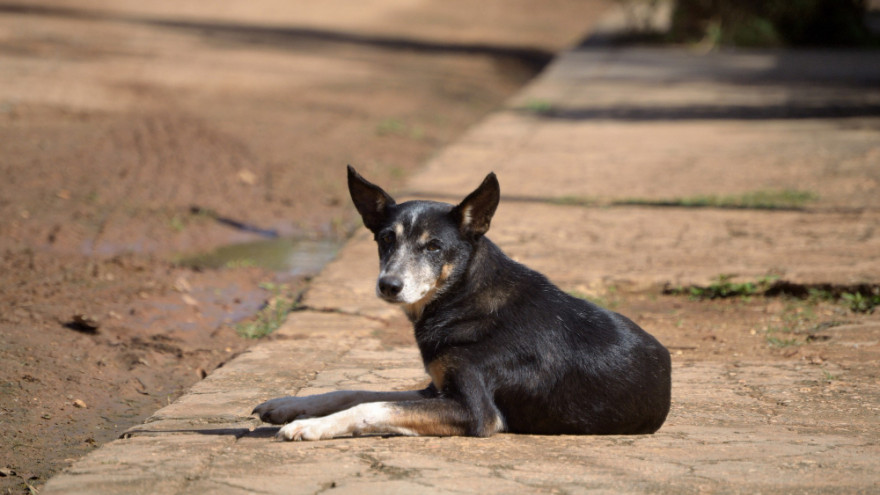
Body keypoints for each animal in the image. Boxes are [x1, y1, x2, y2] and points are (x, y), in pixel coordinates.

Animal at [251, 167, 672, 442]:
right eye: (385, 239)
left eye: (434, 246)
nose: (388, 285)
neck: (462, 297)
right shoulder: (436, 389)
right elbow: (354, 392)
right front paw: (289, 405)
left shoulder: (475, 412)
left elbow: (373, 408)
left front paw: (309, 425)